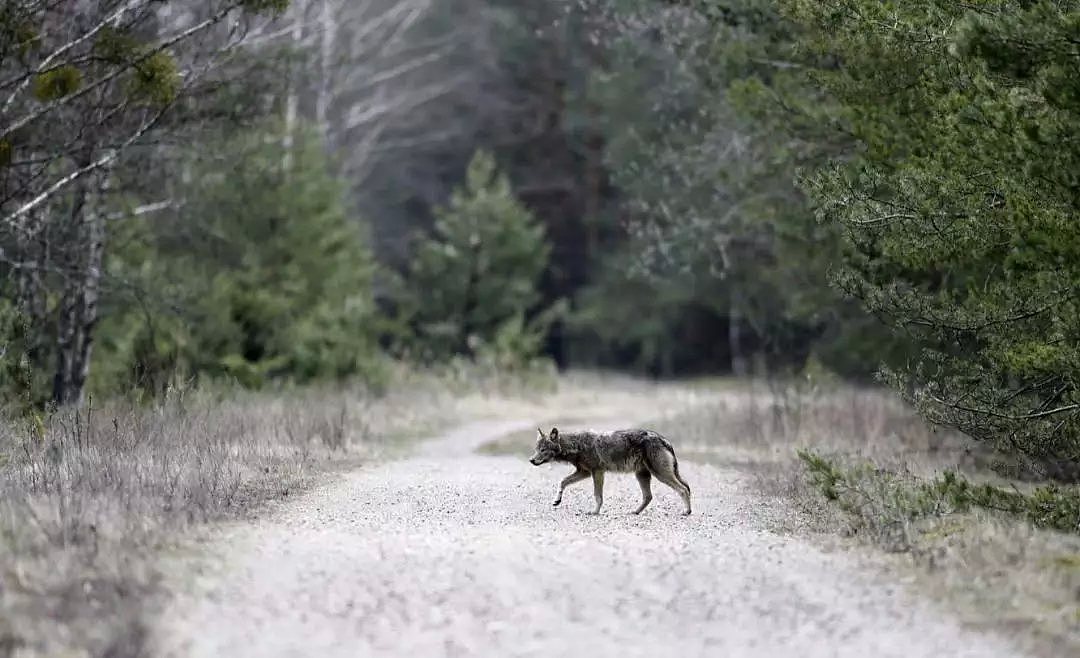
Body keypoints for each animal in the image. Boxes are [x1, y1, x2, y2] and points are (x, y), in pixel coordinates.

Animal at [529, 425, 691, 514]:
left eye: (543, 450)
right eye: (536, 449)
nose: (531, 460)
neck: (577, 445)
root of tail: (664, 439)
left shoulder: (597, 472)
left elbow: (598, 496)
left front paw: (594, 512)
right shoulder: (585, 472)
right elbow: (562, 482)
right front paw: (557, 500)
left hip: (660, 474)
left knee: (683, 489)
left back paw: (687, 512)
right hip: (642, 475)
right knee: (649, 496)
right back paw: (635, 512)